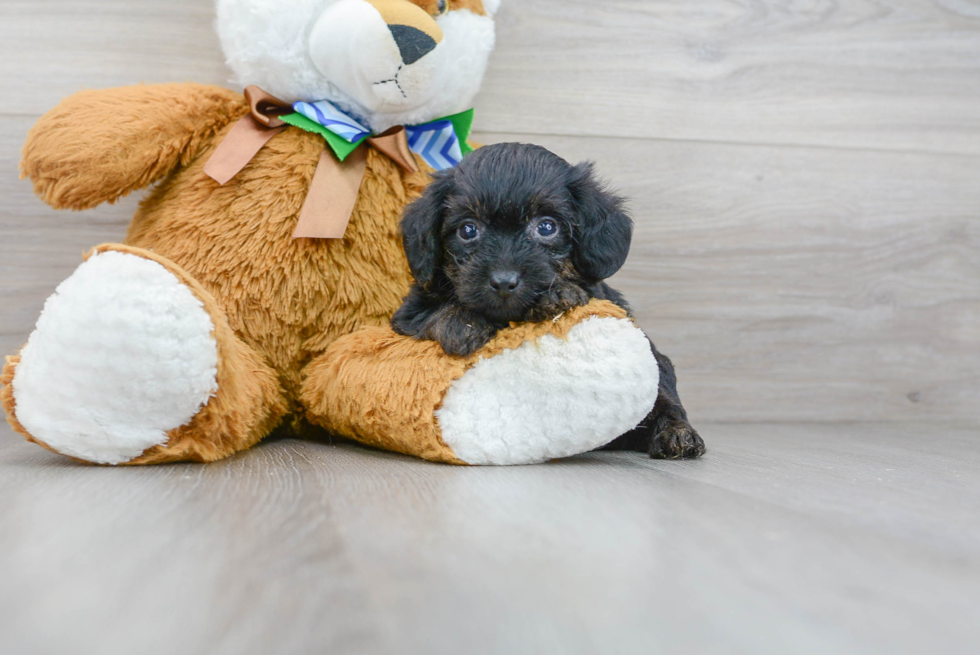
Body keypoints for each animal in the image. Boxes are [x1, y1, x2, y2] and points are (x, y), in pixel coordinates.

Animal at [390, 144, 704, 462]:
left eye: (546, 227)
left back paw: (677, 433)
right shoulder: (408, 313)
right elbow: (432, 312)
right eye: (468, 230)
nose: (504, 281)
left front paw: (557, 296)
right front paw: (459, 322)